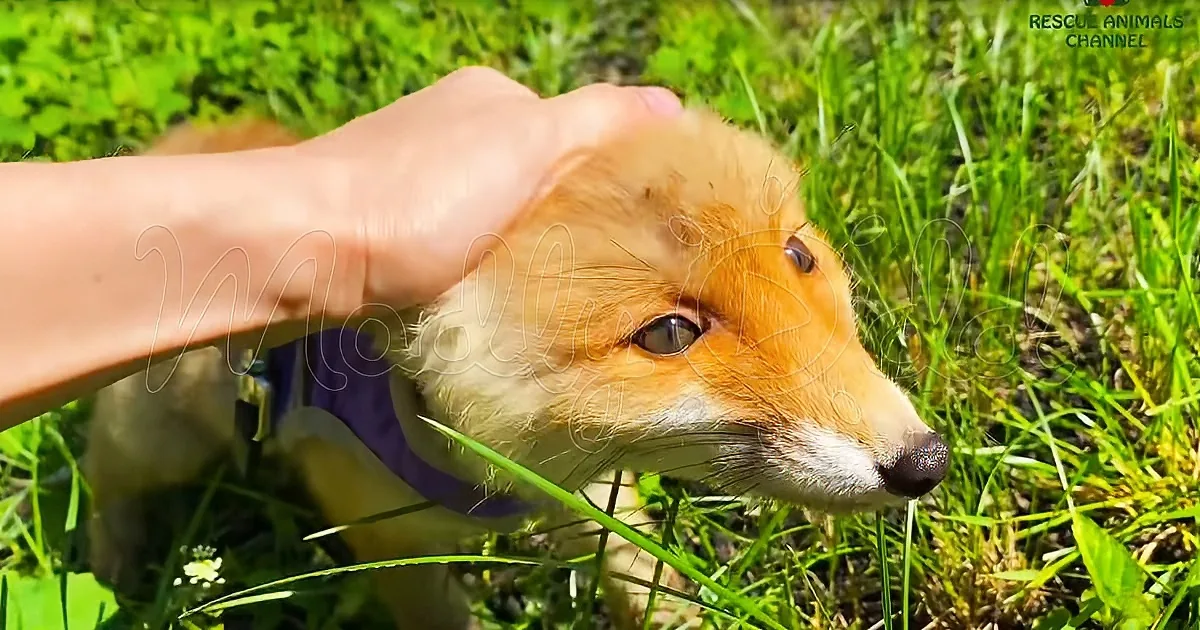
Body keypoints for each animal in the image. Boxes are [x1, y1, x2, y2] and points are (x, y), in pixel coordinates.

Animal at [82, 108, 950, 629]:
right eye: (670, 333)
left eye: (799, 256)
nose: (928, 461)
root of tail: (179, 145)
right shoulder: (394, 546)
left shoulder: (591, 492)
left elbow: (646, 580)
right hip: (159, 445)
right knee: (101, 475)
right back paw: (108, 569)